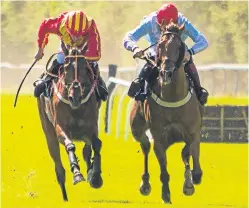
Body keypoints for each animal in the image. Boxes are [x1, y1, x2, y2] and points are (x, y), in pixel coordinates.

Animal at [36, 46, 102, 201]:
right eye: (66, 67)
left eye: (85, 67)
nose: (75, 97)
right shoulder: (60, 127)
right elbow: (70, 145)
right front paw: (77, 175)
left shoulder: (92, 126)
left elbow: (96, 144)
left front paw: (95, 177)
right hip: (48, 130)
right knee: (59, 169)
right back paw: (65, 198)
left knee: (86, 151)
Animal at [130, 22, 204, 203]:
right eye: (160, 46)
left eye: (178, 47)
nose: (166, 73)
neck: (173, 98)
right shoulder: (159, 137)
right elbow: (163, 171)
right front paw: (166, 195)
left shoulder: (193, 132)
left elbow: (192, 159)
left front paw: (191, 182)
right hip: (137, 129)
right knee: (145, 146)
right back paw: (145, 184)